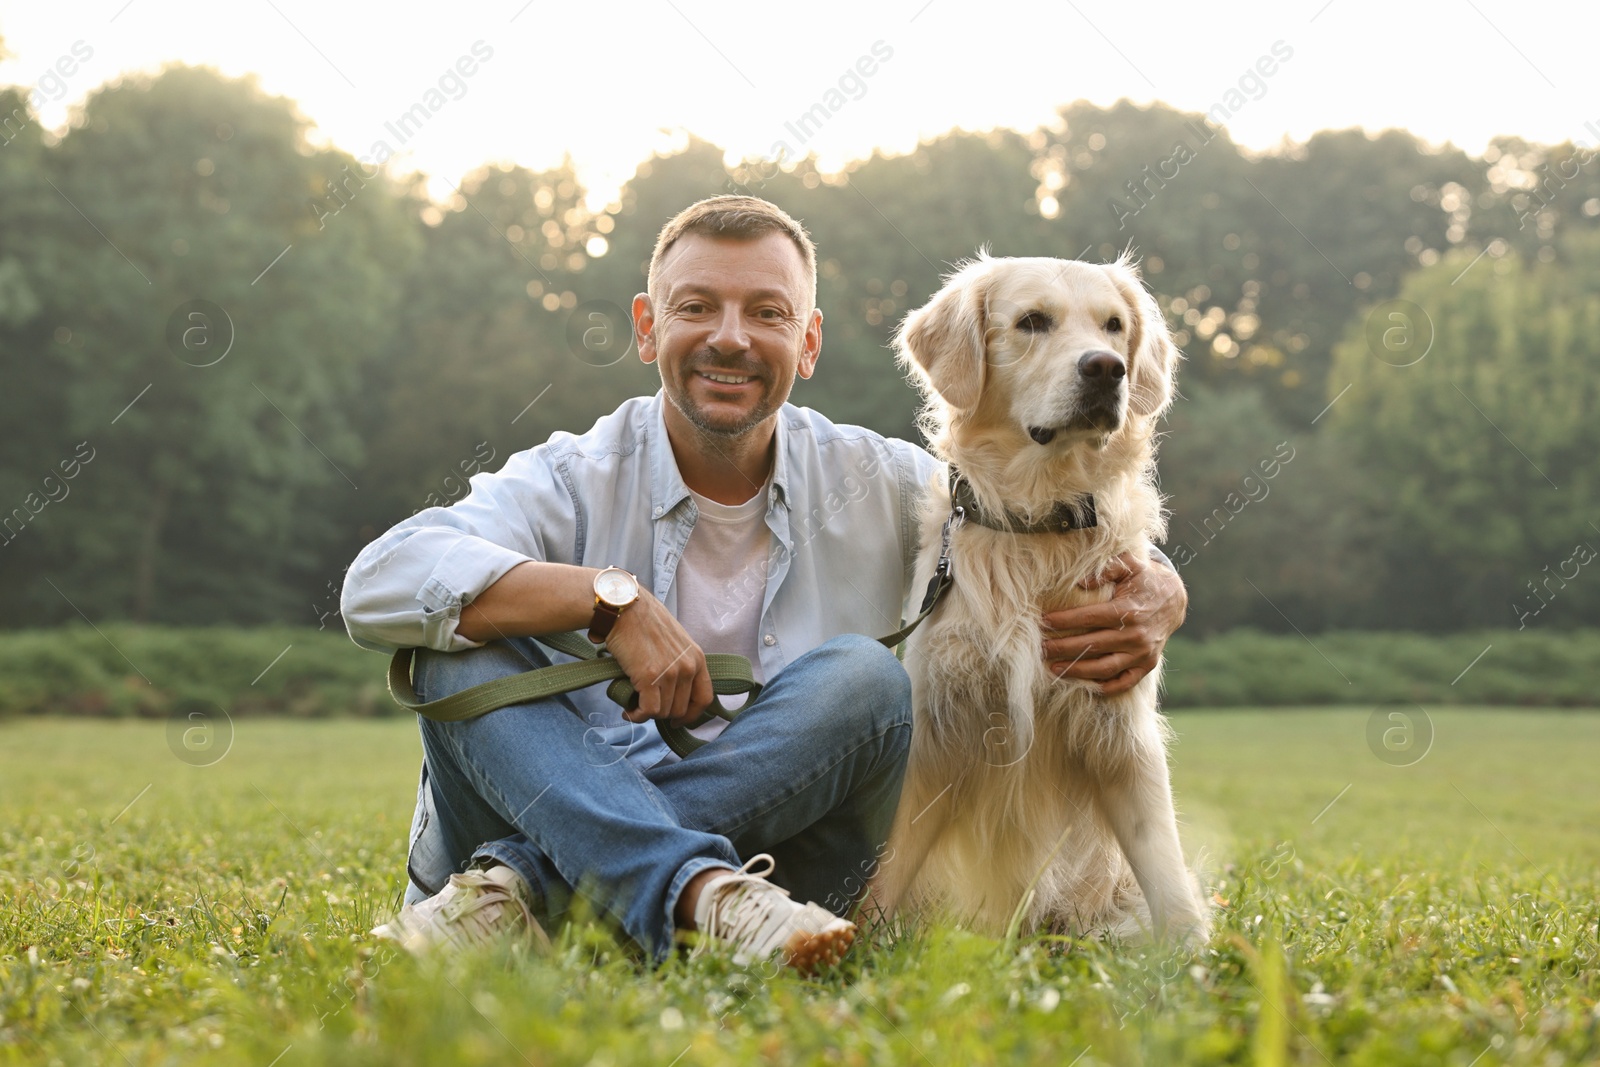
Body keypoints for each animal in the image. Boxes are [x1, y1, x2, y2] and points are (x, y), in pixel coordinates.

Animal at [876, 254, 1209, 947]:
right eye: (1032, 322)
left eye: (1114, 327)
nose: (1106, 369)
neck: (1038, 525)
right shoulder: (937, 725)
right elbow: (886, 867)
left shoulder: (1120, 730)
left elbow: (1166, 872)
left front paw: (1198, 957)